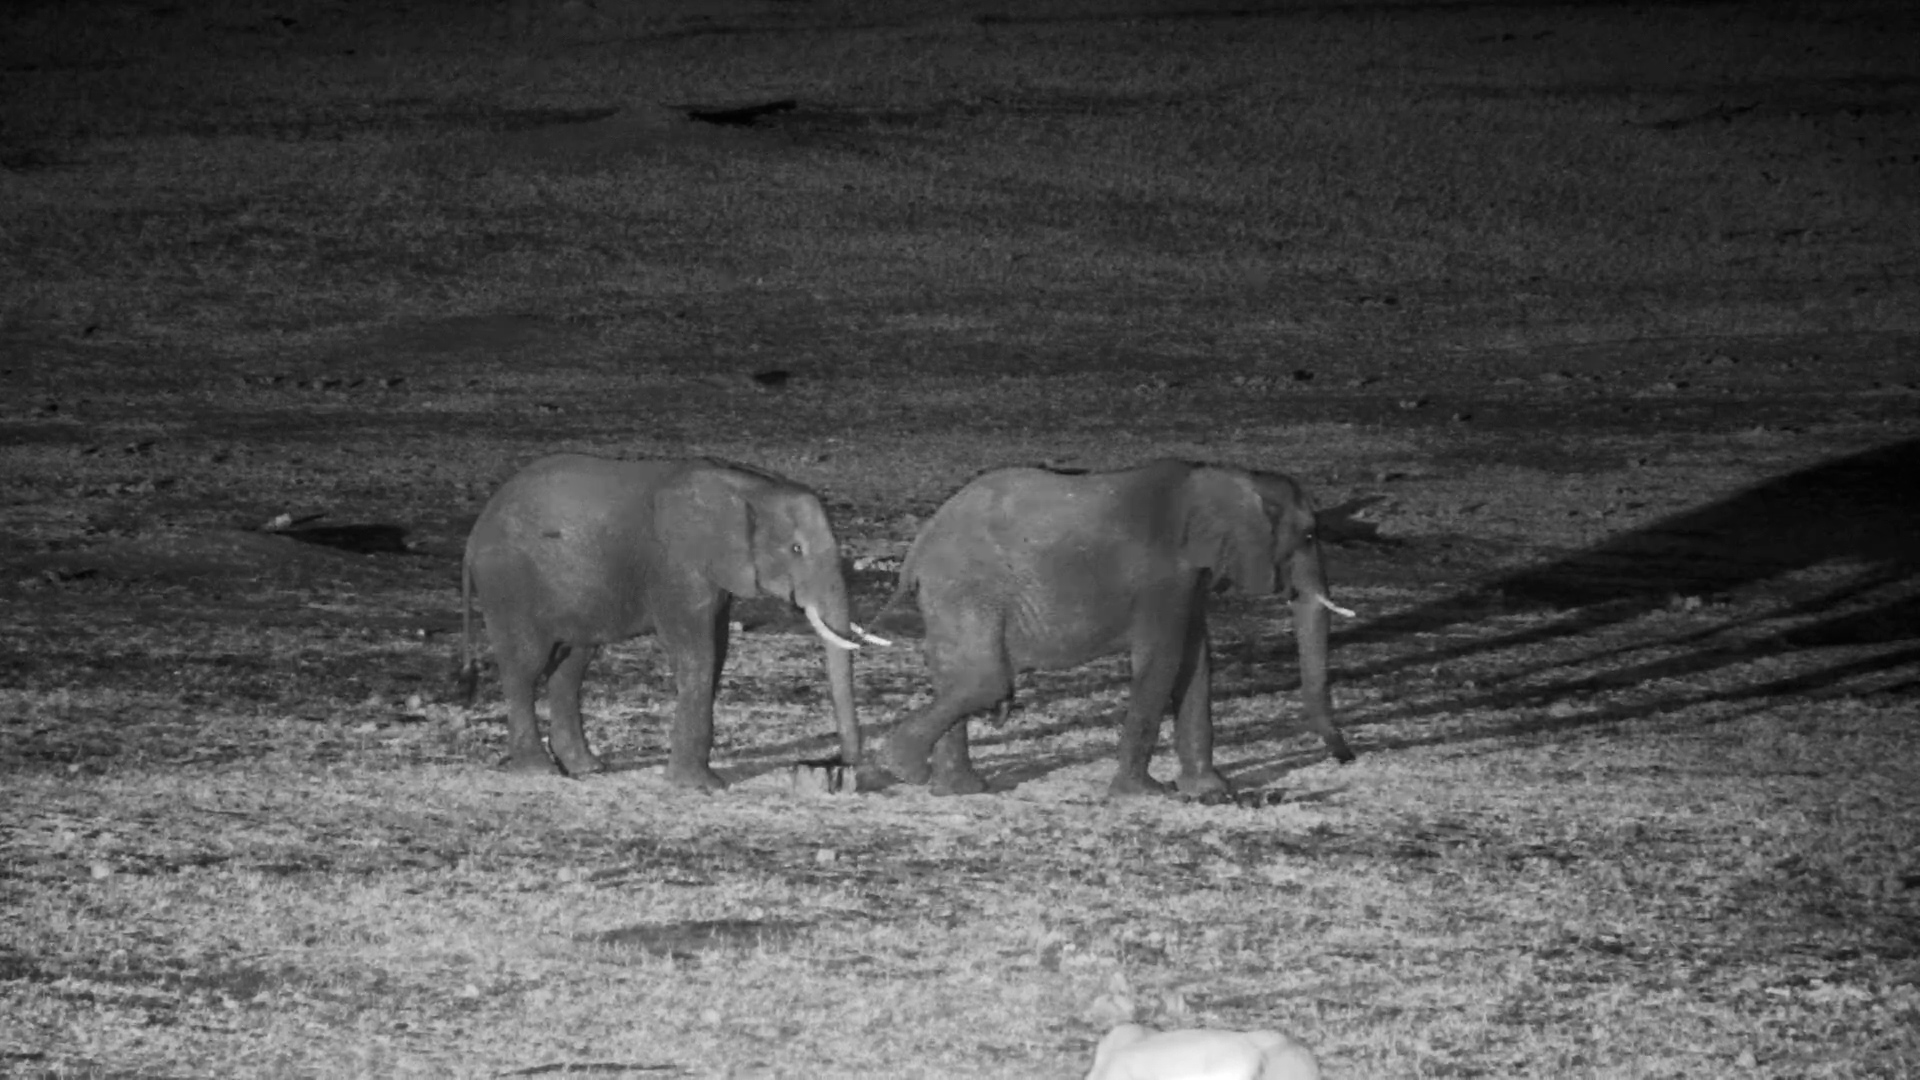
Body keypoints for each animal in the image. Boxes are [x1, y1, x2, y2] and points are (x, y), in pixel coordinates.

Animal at [458, 454, 887, 787]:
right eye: (796, 549)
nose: (840, 766)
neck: (750, 488)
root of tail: (476, 530)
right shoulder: (677, 566)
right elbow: (695, 652)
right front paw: (701, 787)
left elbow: (716, 651)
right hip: (507, 584)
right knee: (525, 667)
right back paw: (538, 771)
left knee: (572, 665)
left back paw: (588, 768)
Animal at [872, 459, 1355, 797]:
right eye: (1309, 536)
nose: (1346, 759)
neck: (1225, 476)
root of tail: (917, 549)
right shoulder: (1164, 579)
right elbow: (1164, 662)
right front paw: (1145, 794)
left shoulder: (1189, 581)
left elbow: (1196, 665)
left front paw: (1211, 791)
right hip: (967, 587)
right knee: (986, 679)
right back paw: (905, 769)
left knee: (957, 677)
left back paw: (956, 788)